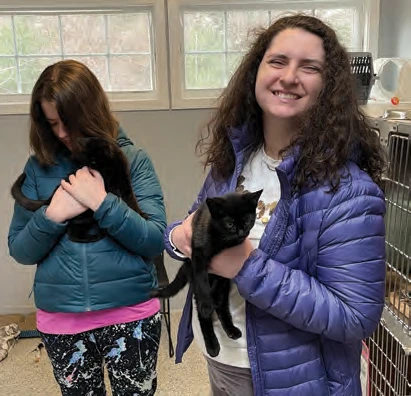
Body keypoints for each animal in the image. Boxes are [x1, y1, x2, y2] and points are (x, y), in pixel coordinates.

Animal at [10, 136, 150, 243]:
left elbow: (131, 199)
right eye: (86, 161)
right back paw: (94, 236)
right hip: (84, 216)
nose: (88, 168)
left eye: (93, 161)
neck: (110, 169)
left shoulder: (125, 181)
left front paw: (141, 214)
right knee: (72, 233)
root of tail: (50, 198)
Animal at [152, 190, 264, 358]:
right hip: (194, 278)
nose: (241, 232)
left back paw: (230, 329)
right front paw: (206, 304)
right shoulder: (198, 254)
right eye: (230, 224)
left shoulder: (222, 270)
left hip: (224, 287)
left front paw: (213, 298)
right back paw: (212, 344)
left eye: (247, 220)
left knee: (222, 305)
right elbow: (202, 279)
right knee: (202, 314)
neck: (222, 242)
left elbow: (218, 284)